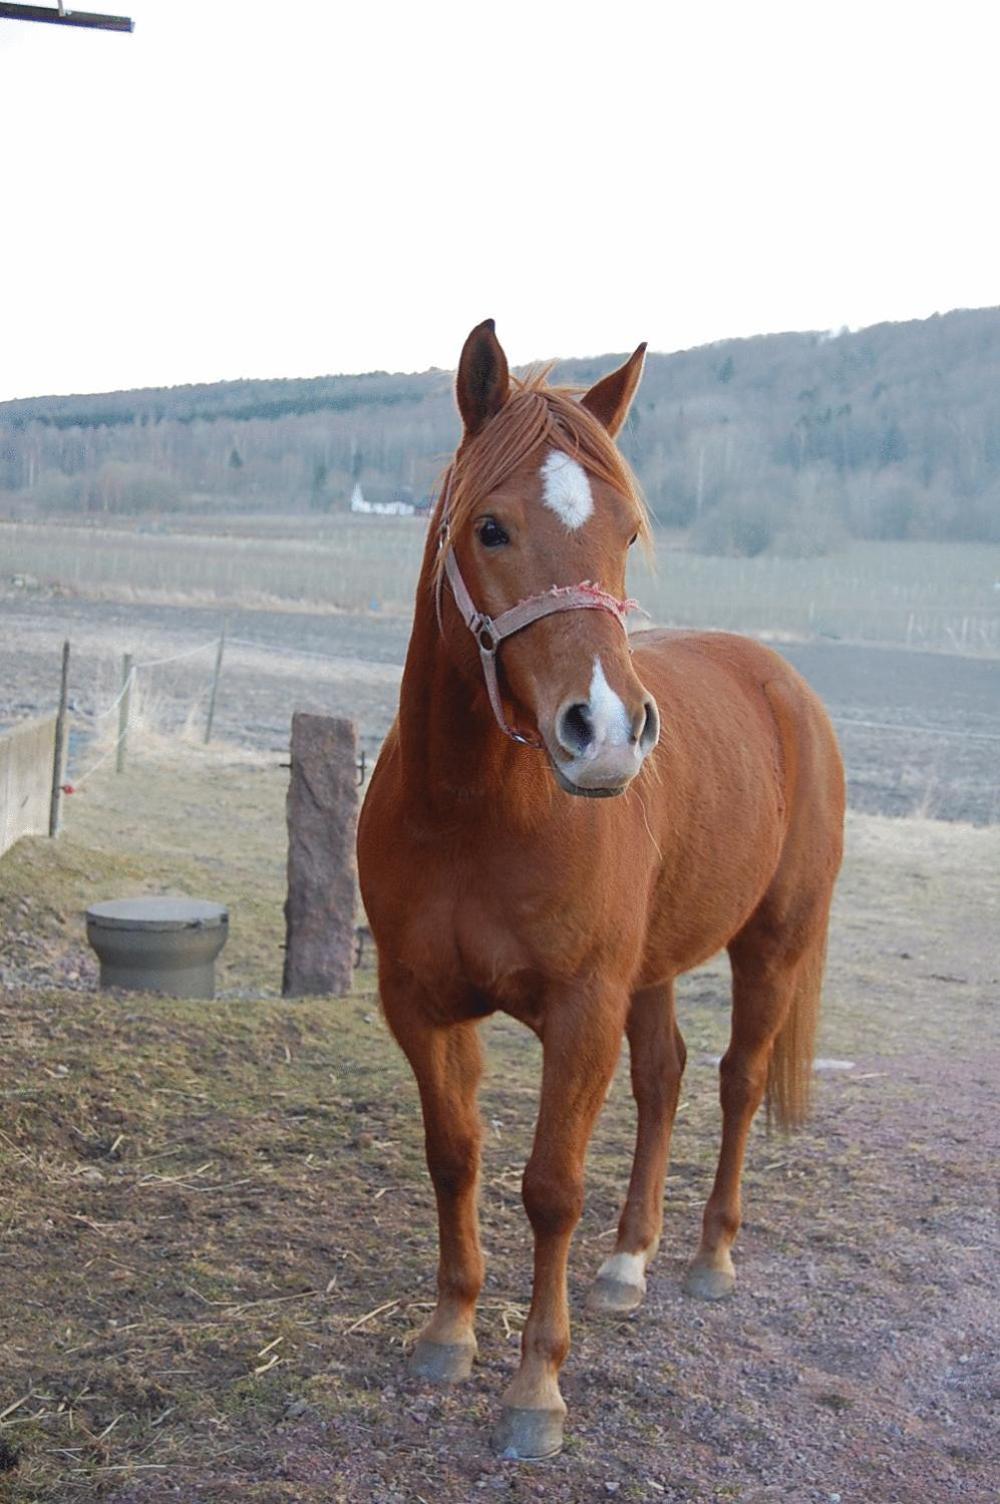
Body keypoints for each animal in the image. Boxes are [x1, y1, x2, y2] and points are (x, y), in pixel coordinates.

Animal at [359, 317, 842, 1455]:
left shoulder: (581, 1009)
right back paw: (627, 1262)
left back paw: (708, 1256)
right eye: (490, 528)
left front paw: (537, 1388)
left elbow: (549, 1187)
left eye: (626, 531)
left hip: (771, 946)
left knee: (736, 1081)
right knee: (665, 1077)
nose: (608, 732)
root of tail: (785, 684)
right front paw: (449, 1331)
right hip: (653, 968)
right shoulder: (418, 1003)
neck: (473, 813)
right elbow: (455, 1154)